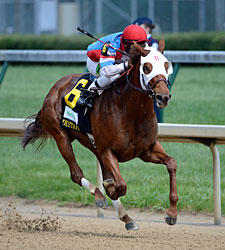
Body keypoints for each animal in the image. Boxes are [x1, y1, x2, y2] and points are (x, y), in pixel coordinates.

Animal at [22, 41, 178, 230]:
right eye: (146, 67)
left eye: (166, 65)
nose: (163, 97)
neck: (131, 112)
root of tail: (56, 86)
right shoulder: (108, 151)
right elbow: (120, 186)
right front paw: (109, 190)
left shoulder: (146, 150)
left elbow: (171, 163)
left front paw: (171, 214)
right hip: (61, 136)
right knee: (76, 174)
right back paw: (99, 196)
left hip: (92, 144)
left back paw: (127, 218)